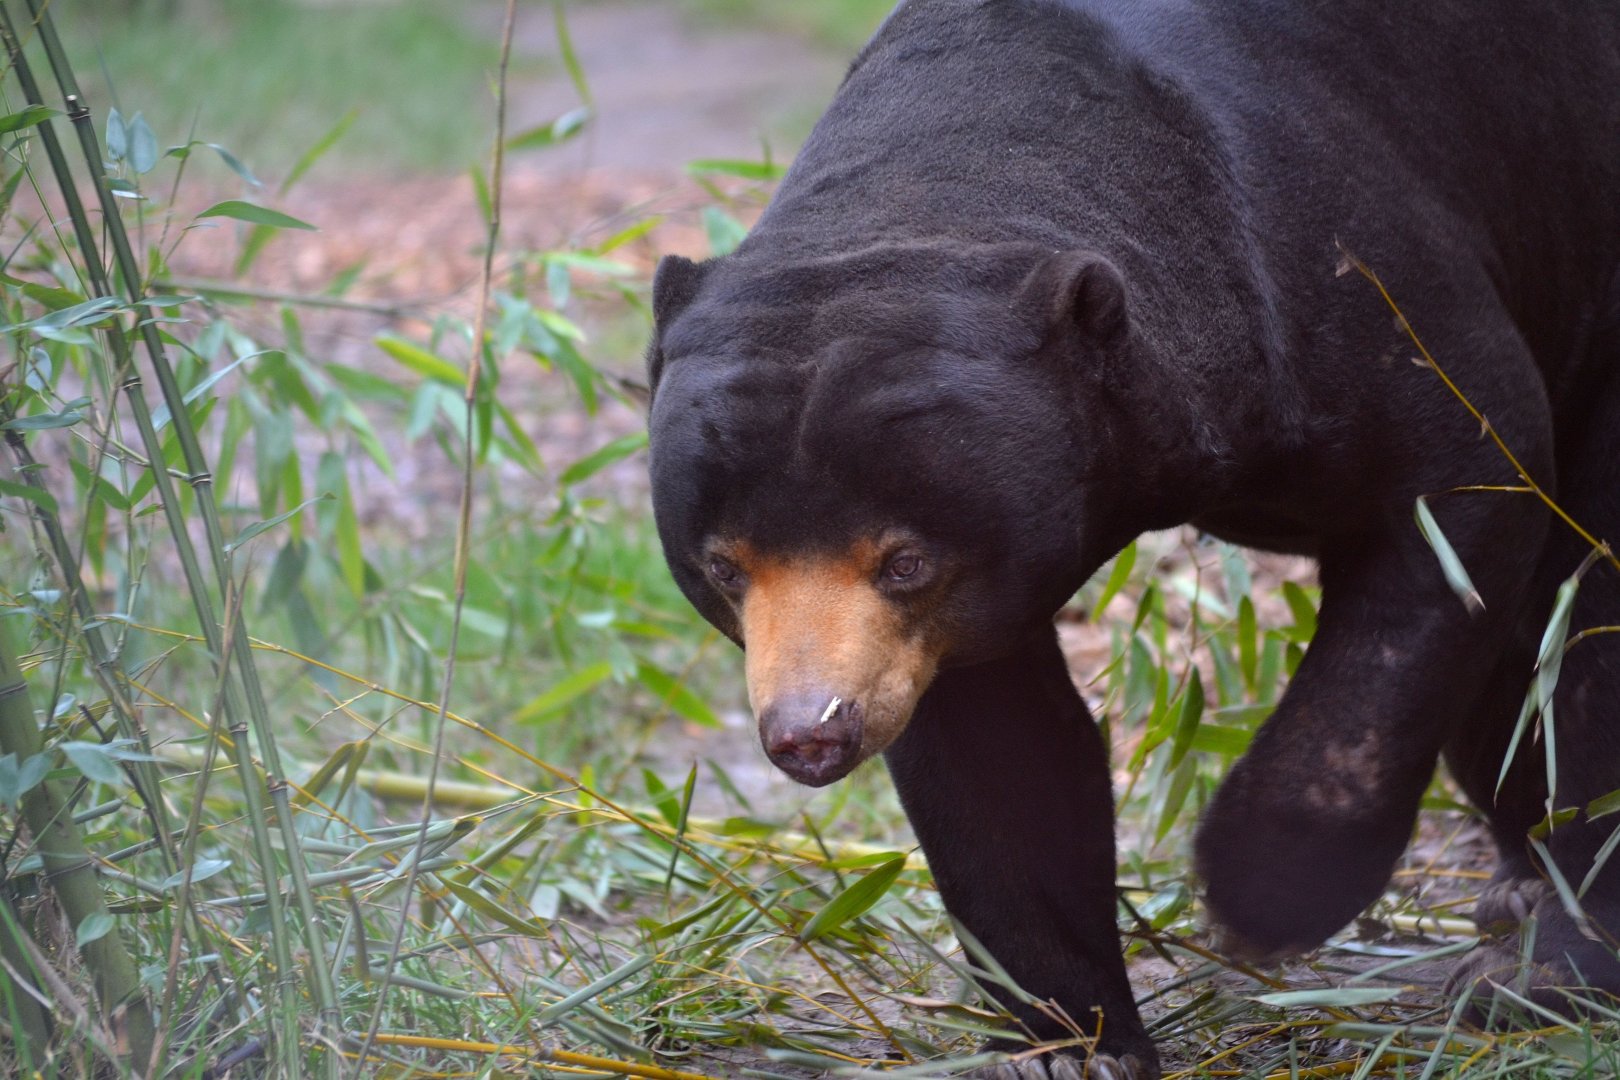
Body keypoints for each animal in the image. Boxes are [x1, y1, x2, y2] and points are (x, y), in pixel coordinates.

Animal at [644, 0, 1620, 1075]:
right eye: (725, 569)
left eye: (905, 562)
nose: (812, 735)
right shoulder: (949, 626)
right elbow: (1003, 759)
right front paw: (1077, 1043)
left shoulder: (1352, 285)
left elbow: (1464, 486)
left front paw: (1261, 892)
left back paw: (1537, 964)